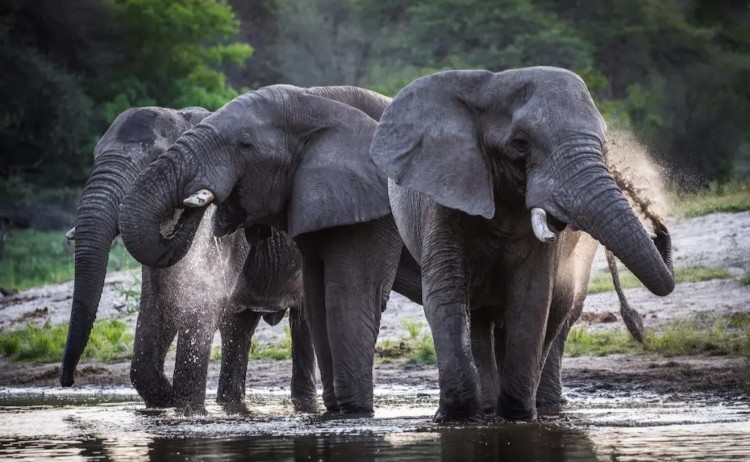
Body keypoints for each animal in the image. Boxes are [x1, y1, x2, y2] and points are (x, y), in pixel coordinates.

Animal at [59, 106, 317, 415]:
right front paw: (165, 405)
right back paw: (232, 407)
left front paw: (187, 412)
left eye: (150, 160)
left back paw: (305, 407)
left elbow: (202, 298)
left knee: (303, 321)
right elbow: (161, 301)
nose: (67, 382)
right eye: (96, 157)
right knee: (239, 327)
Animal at [369, 67, 675, 422]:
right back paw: (488, 407)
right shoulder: (444, 195)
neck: (492, 86)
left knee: (556, 309)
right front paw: (459, 418)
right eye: (520, 144)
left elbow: (531, 299)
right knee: (480, 318)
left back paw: (535, 405)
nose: (658, 231)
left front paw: (516, 416)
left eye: (604, 144)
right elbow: (446, 292)